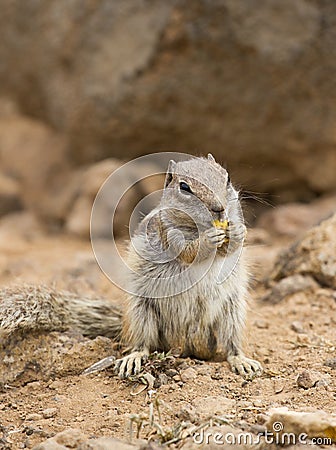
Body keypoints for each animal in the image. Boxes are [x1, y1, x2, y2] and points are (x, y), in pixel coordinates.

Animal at [0, 155, 262, 380]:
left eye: (227, 177)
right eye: (185, 188)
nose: (219, 208)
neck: (196, 227)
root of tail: (186, 345)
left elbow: (232, 247)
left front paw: (237, 232)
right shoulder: (167, 232)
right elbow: (188, 252)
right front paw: (209, 239)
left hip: (233, 313)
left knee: (231, 345)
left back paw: (242, 361)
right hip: (141, 313)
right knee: (142, 344)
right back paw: (133, 358)